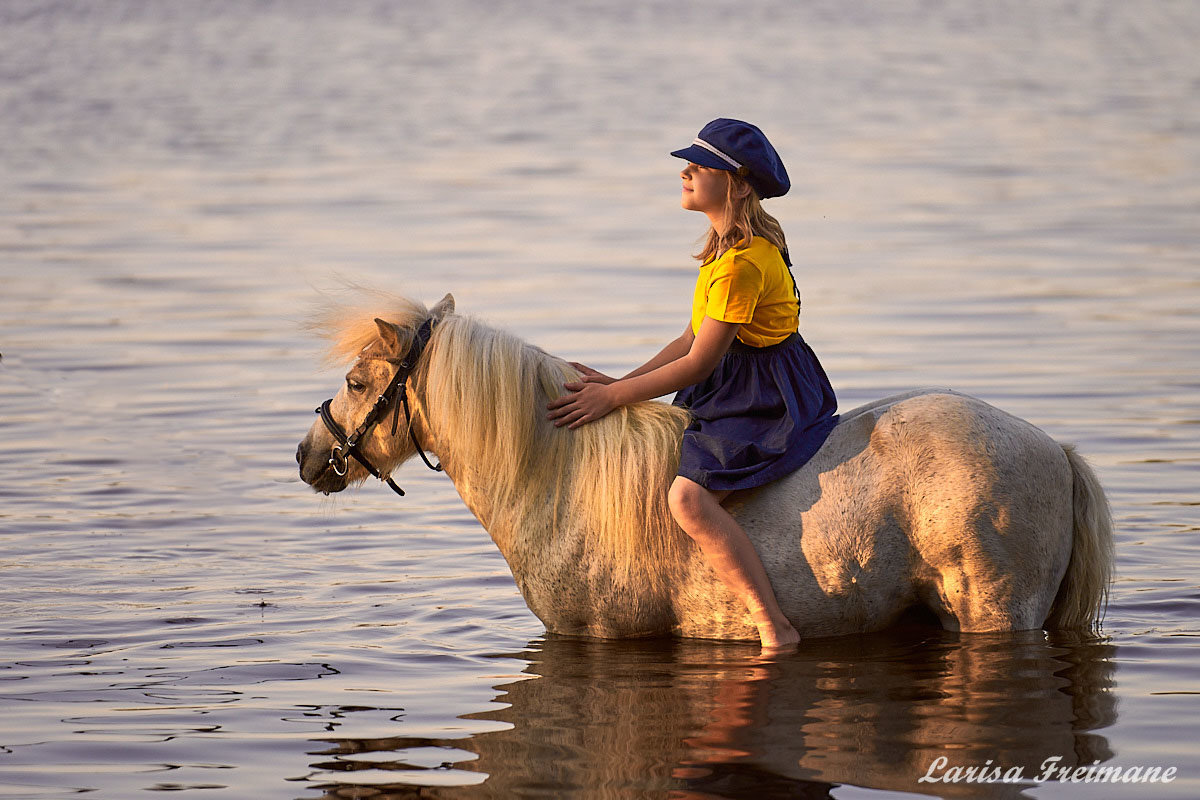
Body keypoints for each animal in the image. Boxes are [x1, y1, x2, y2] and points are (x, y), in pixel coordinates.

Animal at [292, 291, 1113, 642]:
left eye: (359, 383)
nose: (305, 457)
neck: (559, 481)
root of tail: (1057, 451)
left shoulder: (596, 639)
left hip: (995, 614)